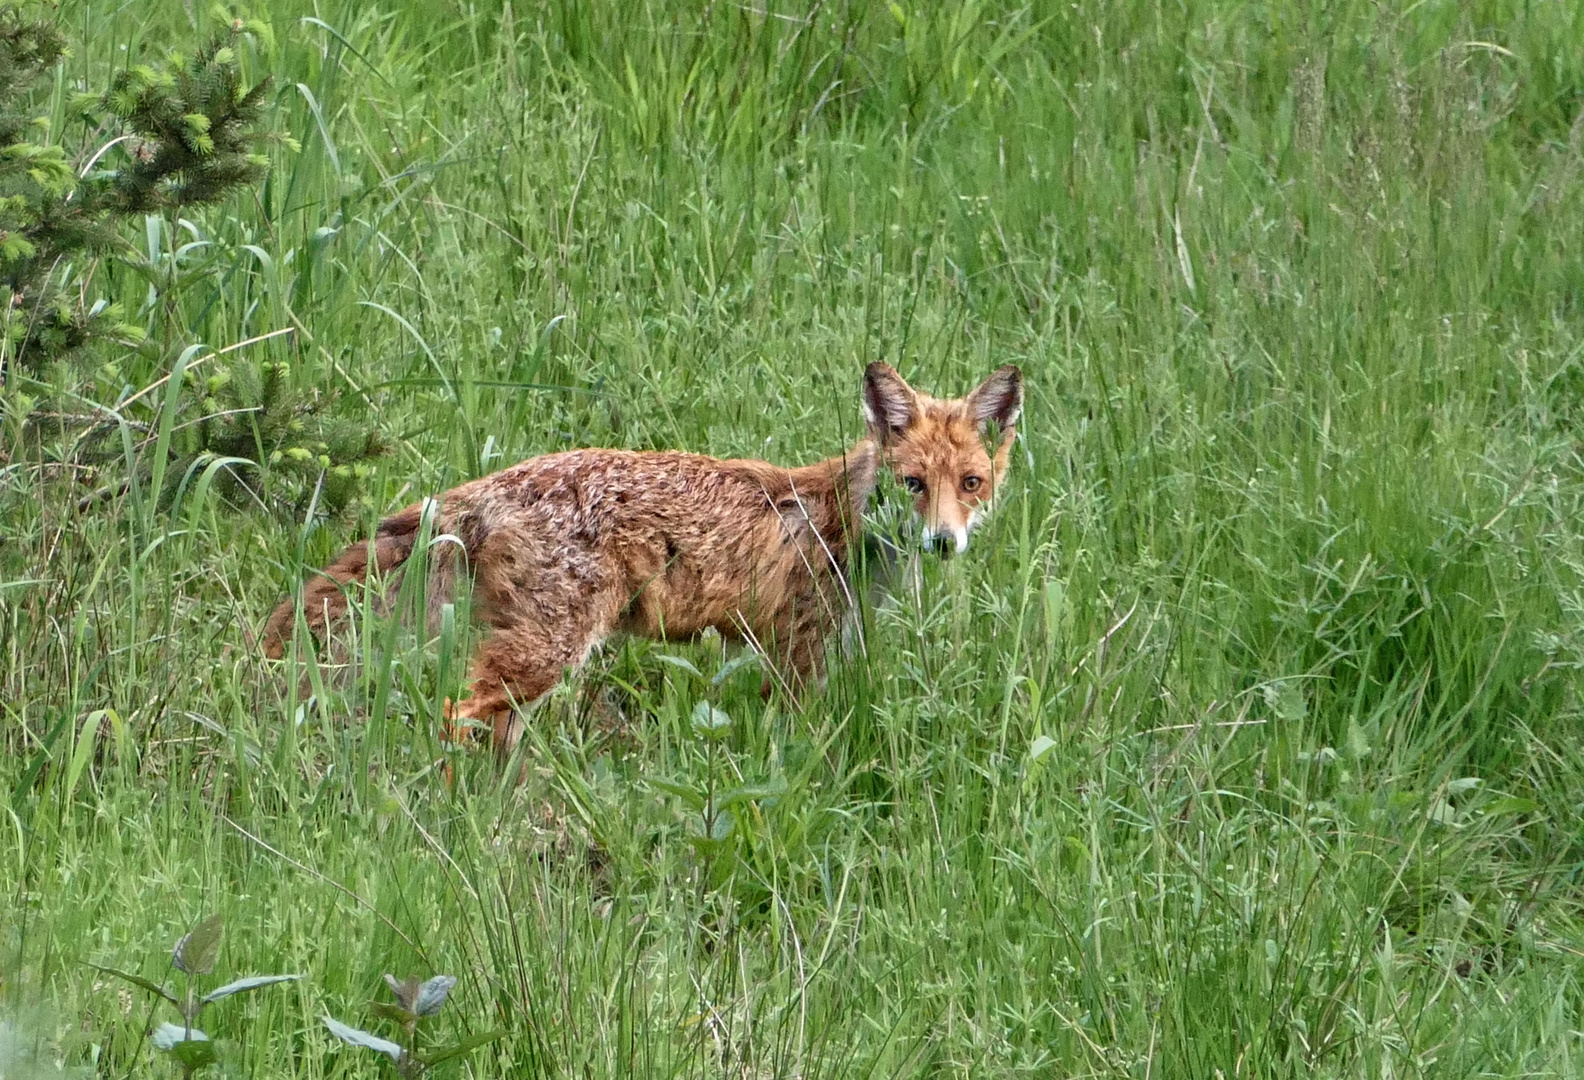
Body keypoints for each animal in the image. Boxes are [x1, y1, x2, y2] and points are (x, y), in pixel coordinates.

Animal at [264, 357, 1020, 753]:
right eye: (914, 484)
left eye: (970, 483)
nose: (944, 542)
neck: (845, 524)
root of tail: (489, 485)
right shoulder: (797, 656)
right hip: (549, 652)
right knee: (455, 715)